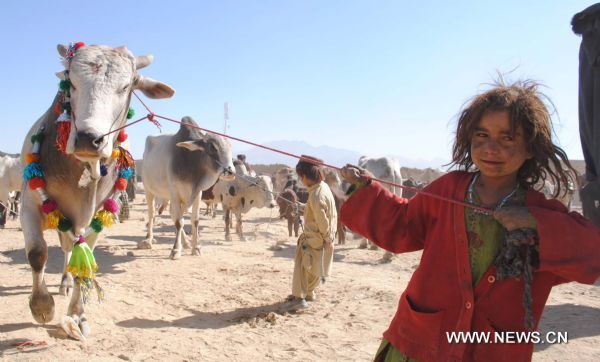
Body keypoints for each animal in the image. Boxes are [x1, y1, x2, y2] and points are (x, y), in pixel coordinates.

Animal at [19, 43, 173, 340]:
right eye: (71, 82)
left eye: (126, 86)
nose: (88, 138)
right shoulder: (28, 205)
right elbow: (37, 254)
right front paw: (41, 306)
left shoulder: (96, 217)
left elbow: (84, 264)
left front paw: (77, 314)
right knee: (63, 247)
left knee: (70, 248)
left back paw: (66, 282)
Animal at [141, 117, 234, 258]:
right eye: (212, 147)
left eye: (230, 146)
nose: (231, 171)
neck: (191, 160)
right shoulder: (175, 191)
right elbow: (179, 222)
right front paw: (175, 250)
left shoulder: (197, 193)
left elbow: (194, 221)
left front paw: (196, 247)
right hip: (149, 191)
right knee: (152, 213)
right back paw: (148, 239)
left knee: (173, 214)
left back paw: (185, 243)